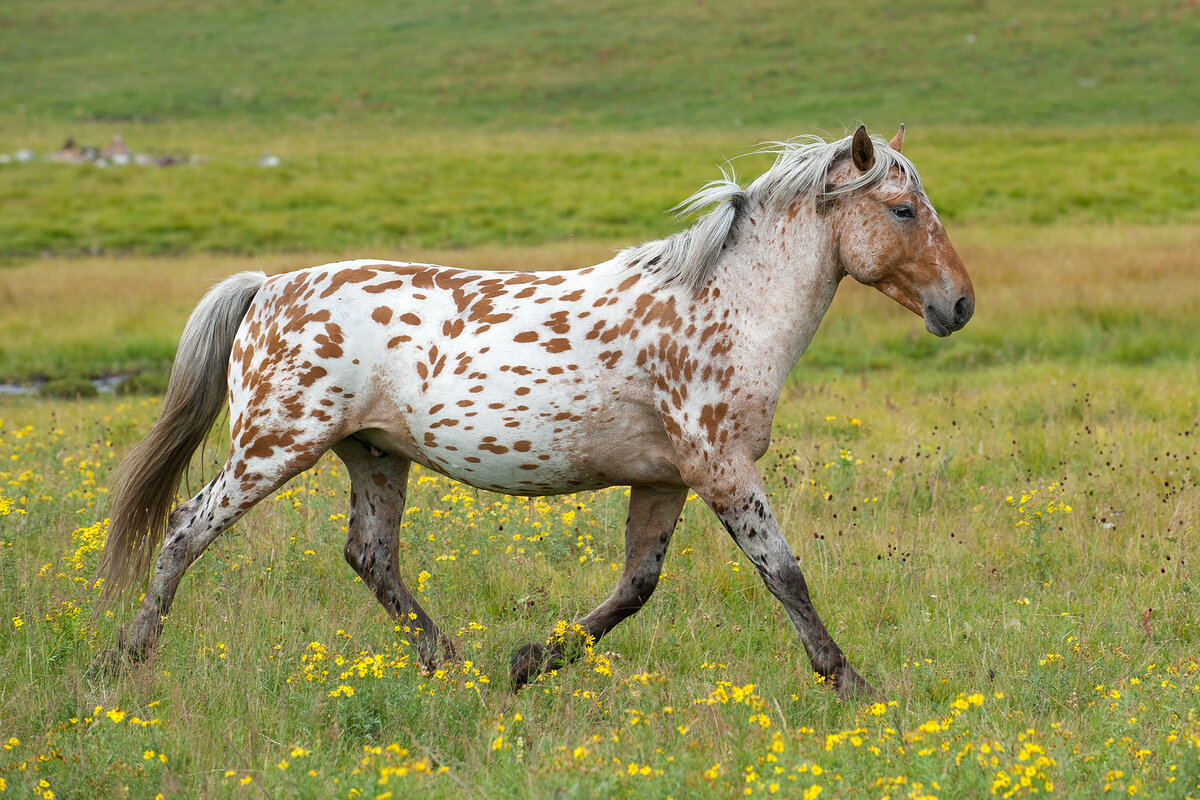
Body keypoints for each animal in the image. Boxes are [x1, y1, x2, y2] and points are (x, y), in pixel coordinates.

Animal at [96, 126, 974, 700]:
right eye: (903, 210)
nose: (959, 305)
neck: (725, 306)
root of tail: (267, 288)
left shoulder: (668, 479)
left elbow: (636, 586)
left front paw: (527, 664)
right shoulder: (722, 468)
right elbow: (784, 573)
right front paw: (854, 685)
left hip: (374, 454)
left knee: (371, 557)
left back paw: (457, 670)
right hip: (274, 447)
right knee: (185, 527)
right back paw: (126, 658)